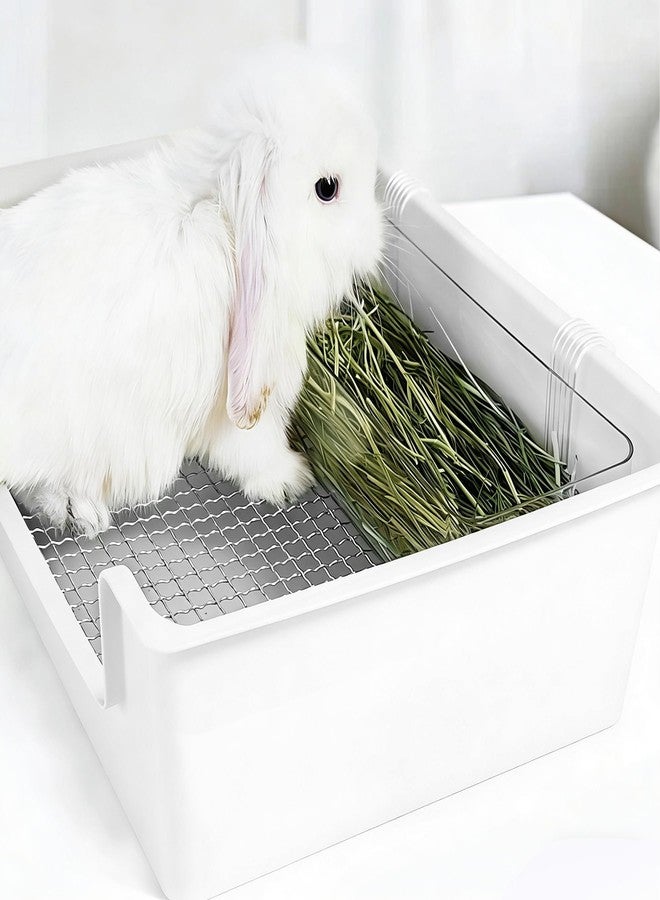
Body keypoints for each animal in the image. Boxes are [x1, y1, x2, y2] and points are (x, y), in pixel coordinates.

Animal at [0, 48, 383, 536]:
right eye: (327, 189)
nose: (376, 241)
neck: (220, 211)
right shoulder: (244, 403)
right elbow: (254, 448)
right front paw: (291, 480)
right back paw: (77, 508)